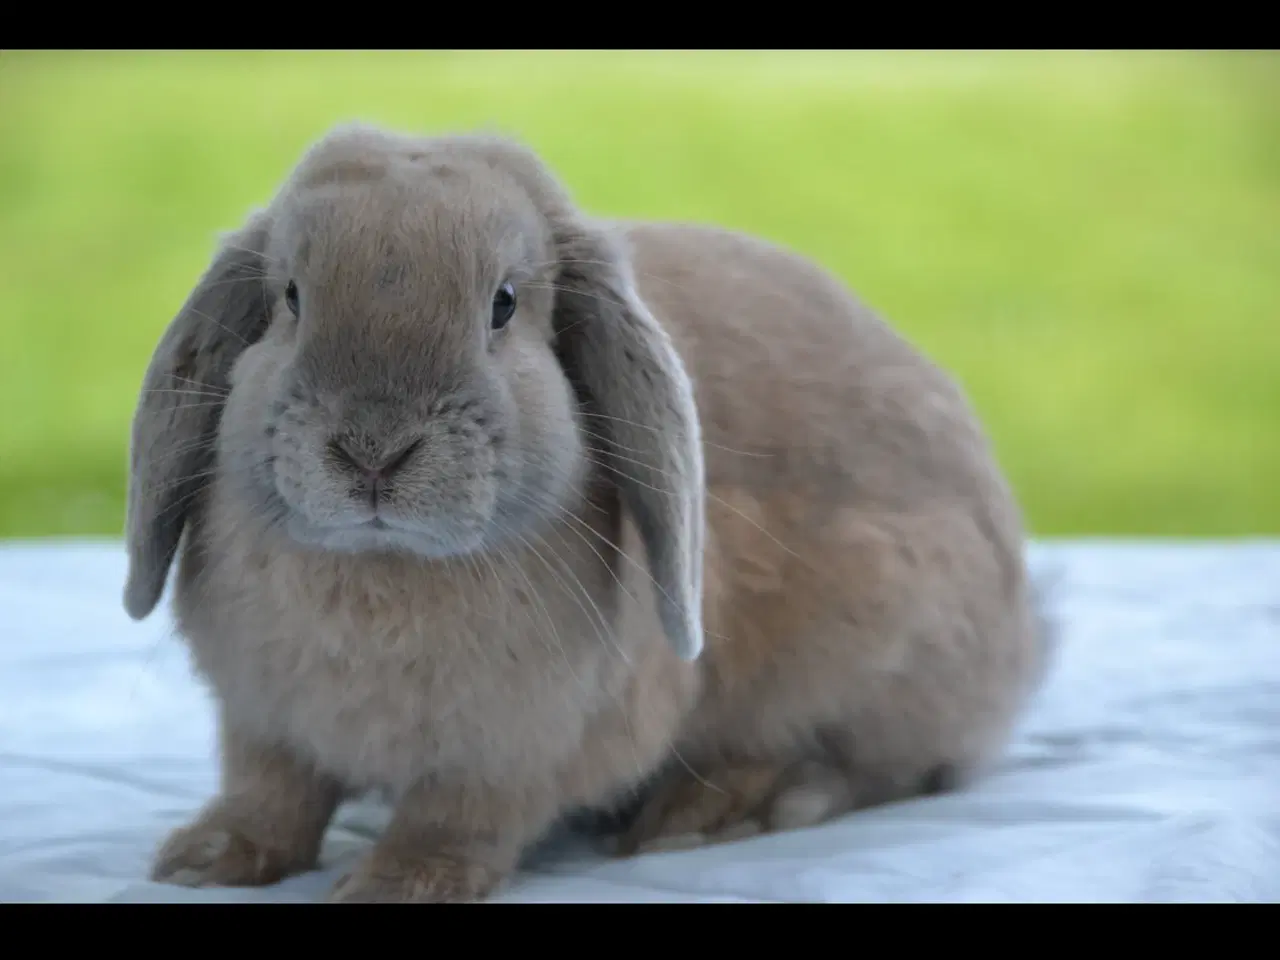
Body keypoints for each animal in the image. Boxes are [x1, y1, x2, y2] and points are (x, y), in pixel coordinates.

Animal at [124, 124, 1054, 906]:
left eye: (502, 304)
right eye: (290, 298)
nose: (373, 449)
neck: (385, 566)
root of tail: (1024, 634)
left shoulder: (517, 745)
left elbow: (457, 818)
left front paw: (398, 885)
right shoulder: (262, 720)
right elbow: (271, 795)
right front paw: (205, 861)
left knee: (879, 768)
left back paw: (719, 814)